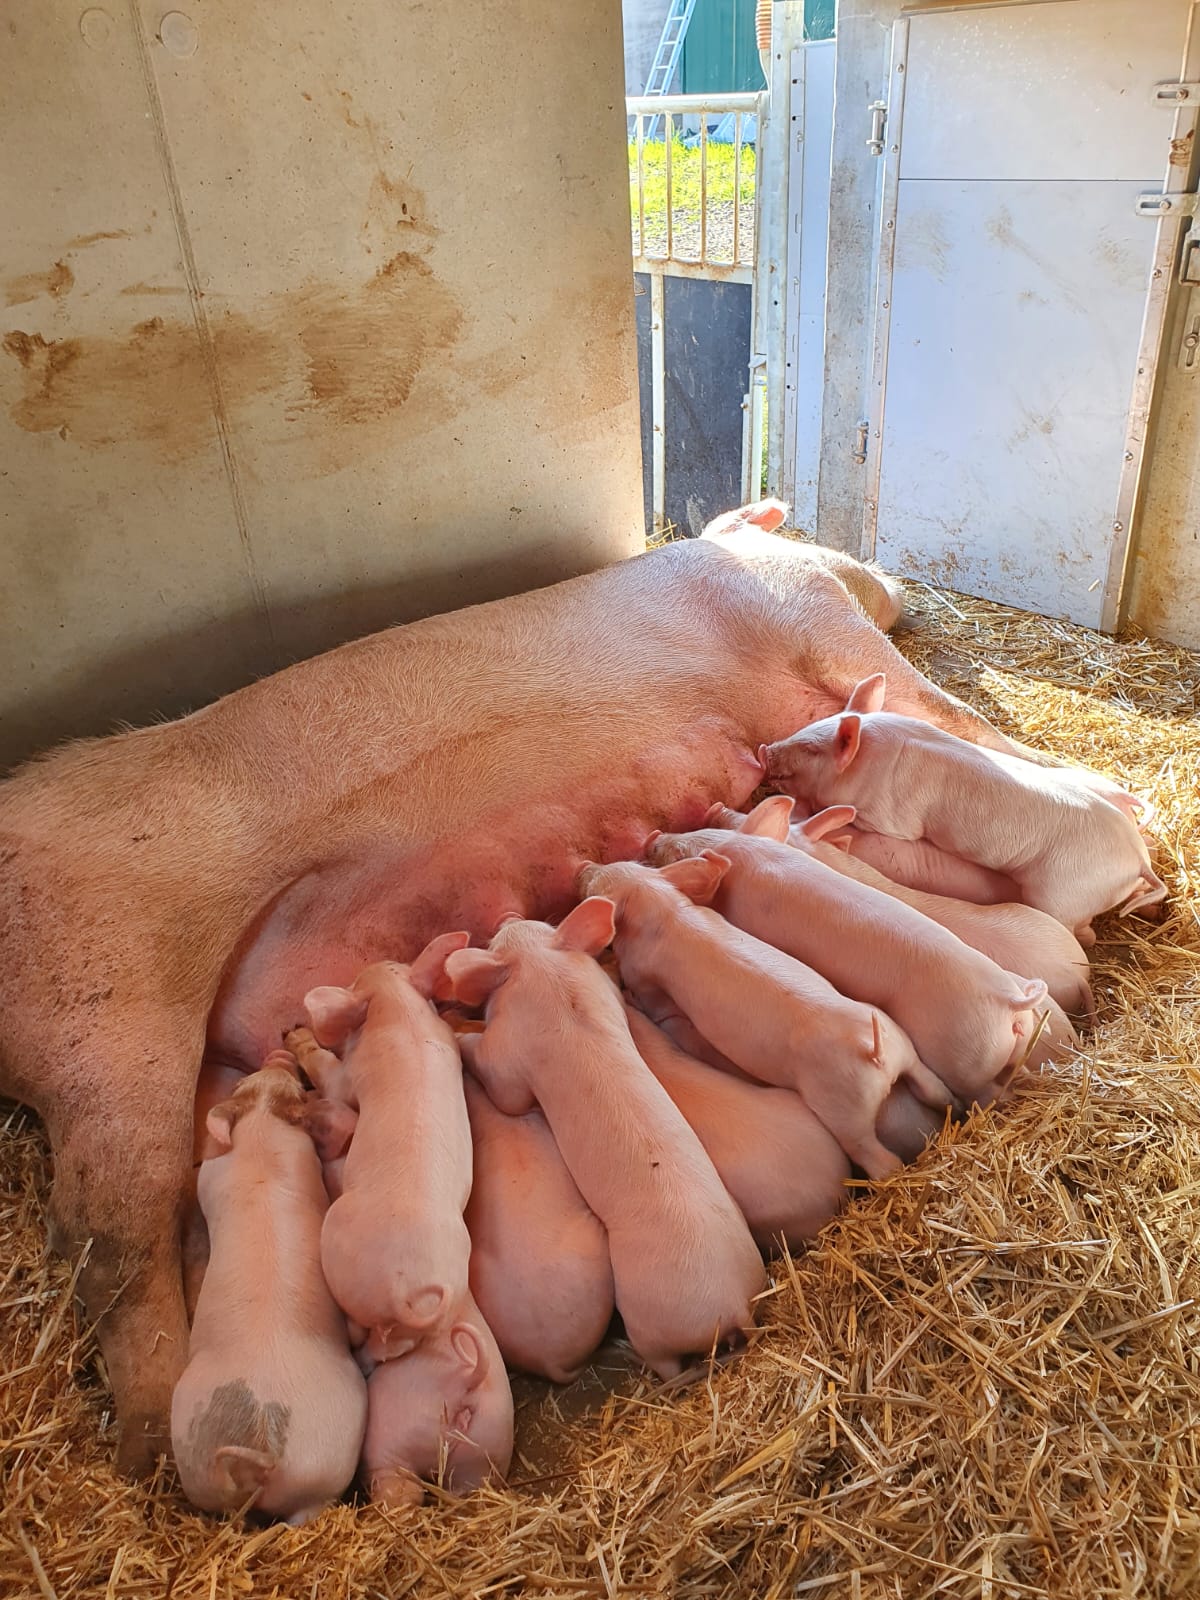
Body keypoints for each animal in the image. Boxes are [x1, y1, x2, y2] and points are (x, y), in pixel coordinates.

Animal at [298, 934, 474, 1360]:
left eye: (354, 981)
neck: (401, 1011)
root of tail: (406, 1291)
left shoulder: (348, 1075)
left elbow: (329, 1074)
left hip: (338, 1238)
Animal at [576, 859, 952, 1180]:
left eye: (595, 886)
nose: (584, 865)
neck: (664, 911)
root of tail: (872, 1050)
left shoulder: (643, 974)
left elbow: (651, 999)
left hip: (844, 1108)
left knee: (880, 1159)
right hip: (903, 1045)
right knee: (937, 1090)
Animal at [762, 673, 1167, 944]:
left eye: (813, 750)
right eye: (812, 726)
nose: (766, 749)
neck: (872, 759)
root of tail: (1136, 858)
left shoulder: (892, 818)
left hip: (1063, 893)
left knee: (1084, 934)